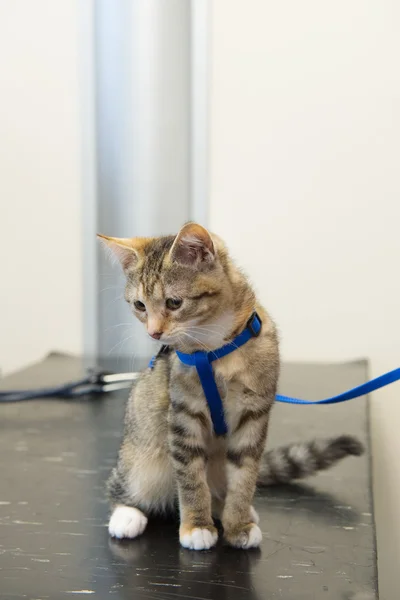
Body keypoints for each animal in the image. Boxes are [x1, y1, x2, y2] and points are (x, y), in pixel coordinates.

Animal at [99, 223, 362, 552]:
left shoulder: (254, 414)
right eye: (140, 305)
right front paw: (196, 526)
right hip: (142, 455)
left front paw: (238, 524)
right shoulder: (183, 412)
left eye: (174, 302)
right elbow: (191, 476)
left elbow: (245, 475)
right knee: (124, 484)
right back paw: (127, 514)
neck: (216, 349)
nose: (154, 332)